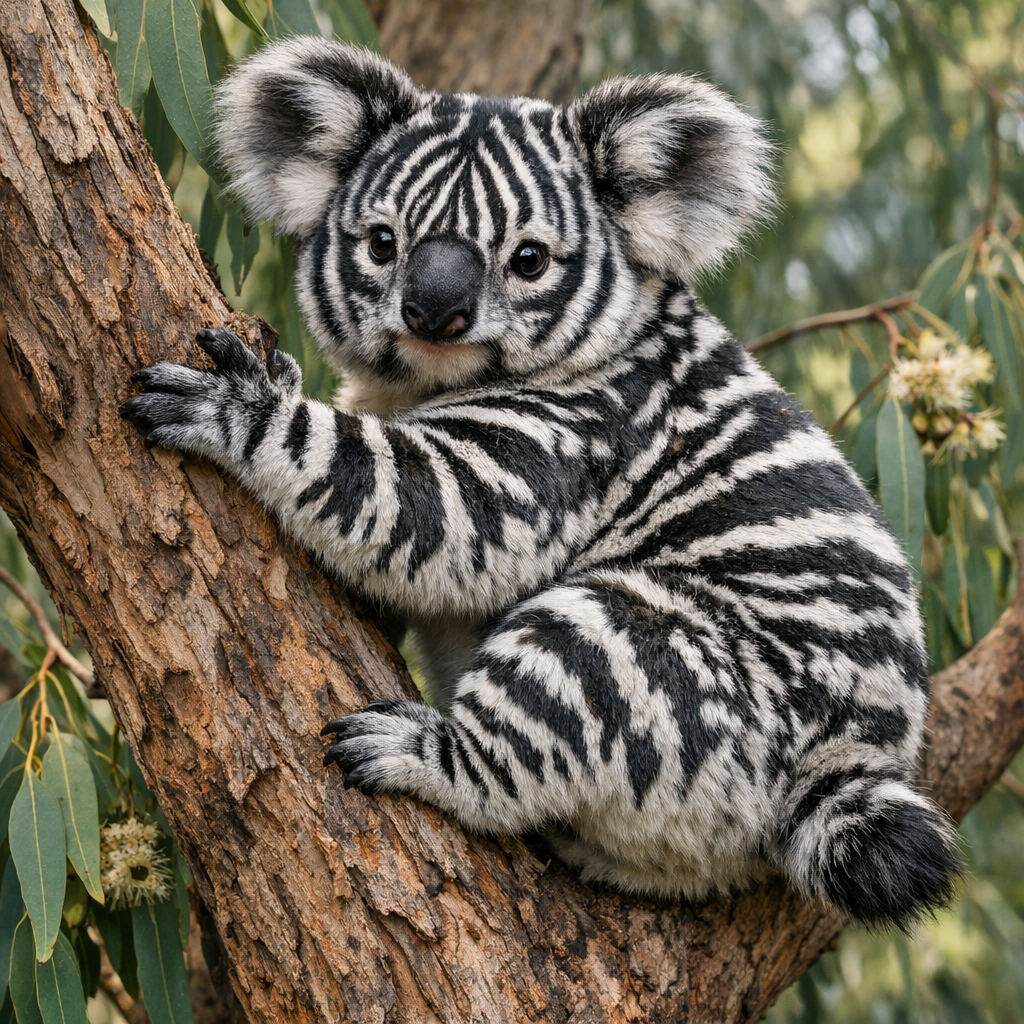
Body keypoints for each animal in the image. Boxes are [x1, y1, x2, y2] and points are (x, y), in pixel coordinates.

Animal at [121, 36, 960, 926]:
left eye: (528, 259)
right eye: (382, 242)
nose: (435, 312)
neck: (419, 391)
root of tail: (846, 765)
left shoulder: (576, 438)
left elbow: (406, 493)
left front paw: (236, 402)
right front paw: (274, 369)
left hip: (658, 664)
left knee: (534, 725)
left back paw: (416, 748)